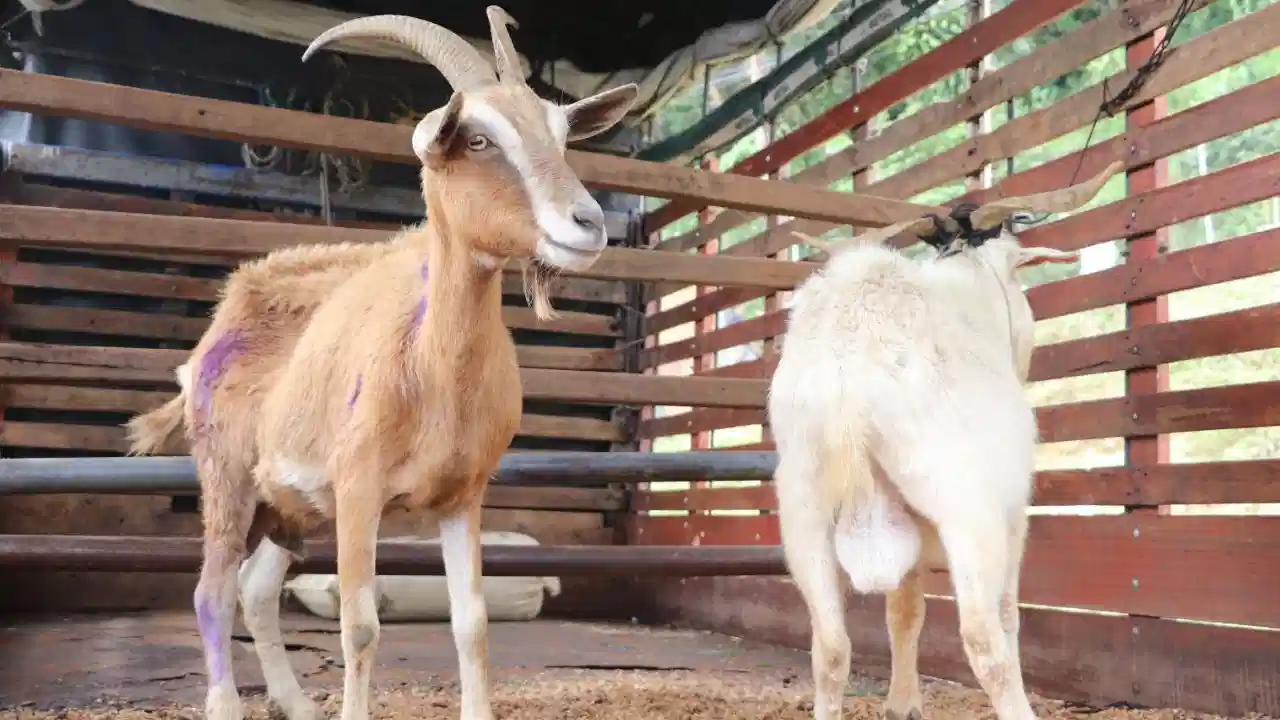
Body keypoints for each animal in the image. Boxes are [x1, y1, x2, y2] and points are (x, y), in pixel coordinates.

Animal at [125, 8, 639, 720]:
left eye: (562, 135)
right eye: (477, 138)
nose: (587, 224)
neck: (431, 368)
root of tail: (221, 320)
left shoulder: (464, 494)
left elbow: (472, 621)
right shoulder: (358, 488)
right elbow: (359, 625)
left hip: (288, 506)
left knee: (255, 590)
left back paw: (298, 705)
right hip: (226, 478)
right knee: (213, 591)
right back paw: (227, 704)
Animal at [771, 161, 1123, 720]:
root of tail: (850, 364)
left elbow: (903, 612)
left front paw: (902, 705)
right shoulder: (1012, 518)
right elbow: (1006, 617)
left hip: (804, 512)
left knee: (830, 648)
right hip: (963, 507)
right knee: (982, 639)